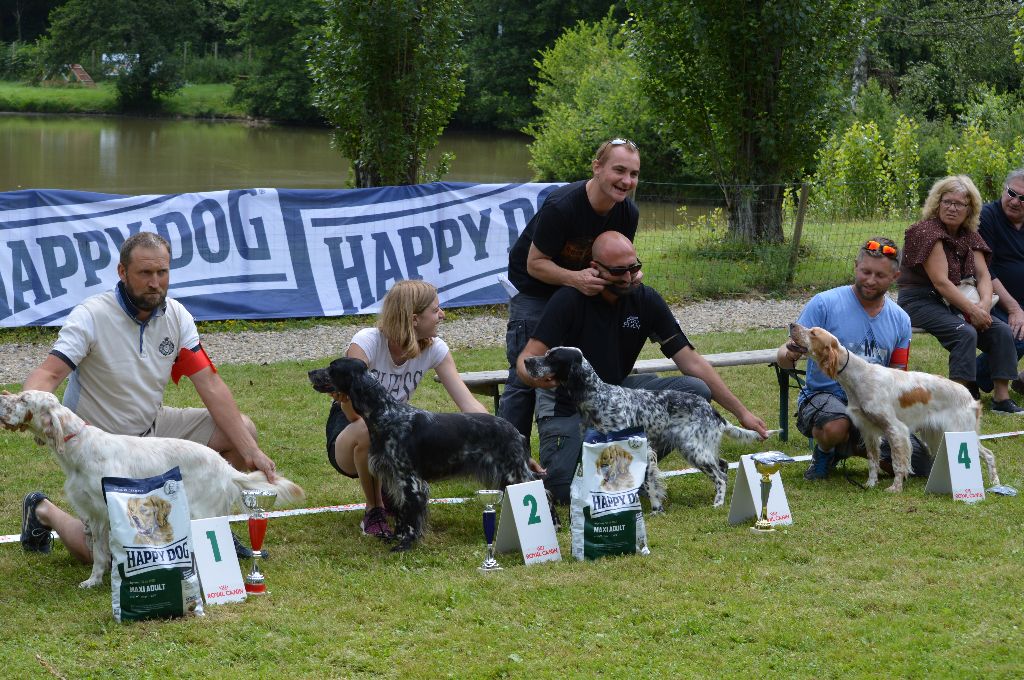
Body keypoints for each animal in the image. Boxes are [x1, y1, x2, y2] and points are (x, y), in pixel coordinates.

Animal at [309, 356, 536, 553]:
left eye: (332, 367)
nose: (310, 372)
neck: (385, 415)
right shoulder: (394, 479)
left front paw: (405, 544)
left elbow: (410, 516)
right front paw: (396, 536)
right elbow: (401, 513)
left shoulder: (411, 481)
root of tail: (516, 432)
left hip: (514, 474)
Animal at [524, 348, 770, 507]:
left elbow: (649, 481)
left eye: (552, 356)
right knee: (723, 466)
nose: (526, 361)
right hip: (697, 449)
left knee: (720, 476)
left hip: (694, 450)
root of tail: (713, 411)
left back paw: (717, 503)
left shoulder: (639, 448)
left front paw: (655, 508)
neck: (599, 398)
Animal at [786, 321, 995, 491]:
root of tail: (970, 397)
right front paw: (870, 484)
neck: (858, 378)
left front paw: (895, 487)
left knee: (989, 454)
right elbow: (873, 461)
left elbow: (897, 463)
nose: (791, 325)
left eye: (813, 333)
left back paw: (995, 484)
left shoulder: (895, 429)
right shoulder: (868, 430)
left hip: (958, 431)